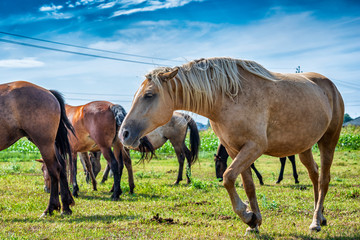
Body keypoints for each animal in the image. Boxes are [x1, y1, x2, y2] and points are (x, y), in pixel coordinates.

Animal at [0, 81, 74, 217]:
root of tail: (49, 93)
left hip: (43, 142)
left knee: (54, 169)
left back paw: (50, 208)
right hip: (48, 143)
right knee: (62, 165)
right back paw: (66, 207)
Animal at [119, 57, 344, 233]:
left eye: (149, 95)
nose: (124, 134)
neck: (228, 98)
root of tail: (330, 86)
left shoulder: (254, 147)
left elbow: (228, 178)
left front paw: (247, 215)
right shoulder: (235, 149)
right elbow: (248, 184)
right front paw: (254, 221)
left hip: (328, 141)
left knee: (323, 179)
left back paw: (315, 222)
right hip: (304, 146)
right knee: (314, 175)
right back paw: (321, 216)